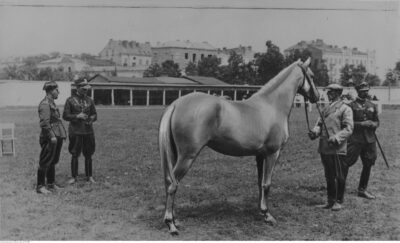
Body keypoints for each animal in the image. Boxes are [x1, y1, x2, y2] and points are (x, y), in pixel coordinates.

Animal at [159, 58, 318, 234]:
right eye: (311, 75)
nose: (316, 97)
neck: (271, 106)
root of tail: (176, 104)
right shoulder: (273, 153)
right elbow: (267, 184)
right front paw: (268, 215)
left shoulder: (260, 155)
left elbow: (260, 183)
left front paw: (261, 211)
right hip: (187, 157)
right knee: (173, 184)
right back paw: (171, 224)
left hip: (176, 155)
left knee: (169, 182)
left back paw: (175, 220)